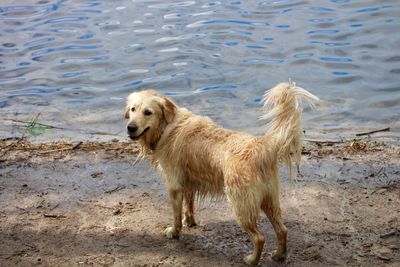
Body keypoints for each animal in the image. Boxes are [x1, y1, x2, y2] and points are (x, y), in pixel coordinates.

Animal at [125, 82, 318, 266]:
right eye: (133, 109)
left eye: (148, 112)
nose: (130, 127)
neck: (167, 127)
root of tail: (262, 147)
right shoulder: (188, 181)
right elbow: (189, 205)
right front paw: (190, 222)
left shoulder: (174, 185)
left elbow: (176, 215)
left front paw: (174, 231)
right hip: (270, 200)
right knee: (282, 230)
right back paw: (279, 255)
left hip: (241, 205)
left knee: (259, 238)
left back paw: (252, 260)